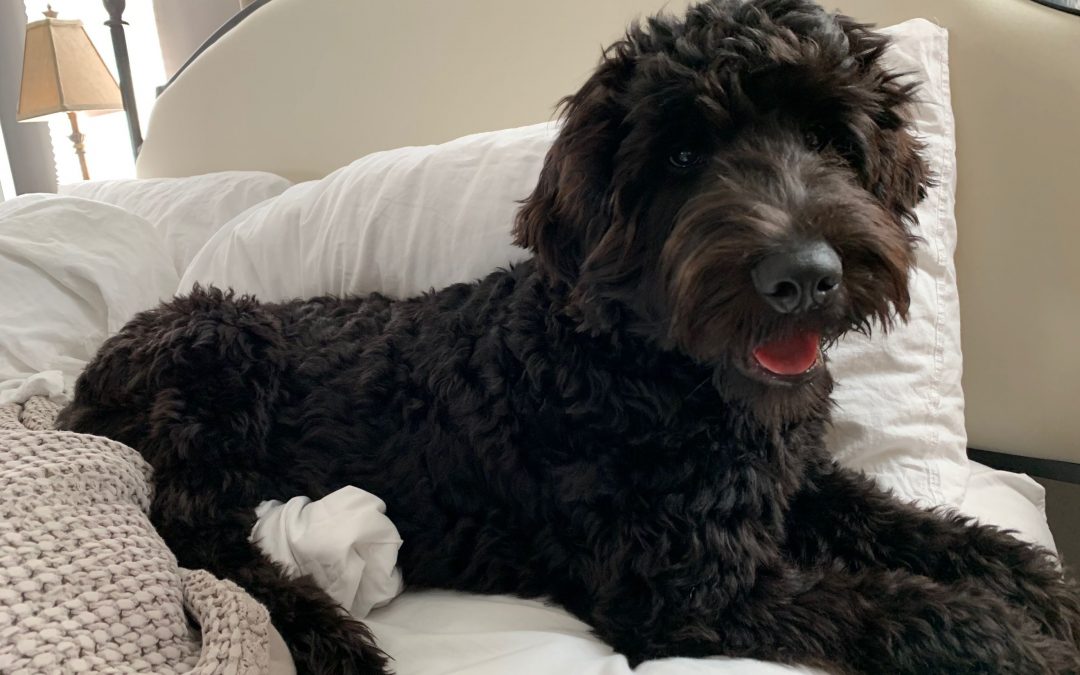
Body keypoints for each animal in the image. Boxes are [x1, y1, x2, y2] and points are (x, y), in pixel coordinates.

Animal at [57, 1, 1080, 673]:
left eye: (832, 136)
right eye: (682, 155)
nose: (805, 276)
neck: (637, 365)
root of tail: (83, 384)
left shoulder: (797, 485)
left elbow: (935, 532)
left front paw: (1045, 591)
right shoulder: (684, 586)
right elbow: (901, 602)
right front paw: (1023, 641)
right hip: (213, 355)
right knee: (195, 543)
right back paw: (324, 632)